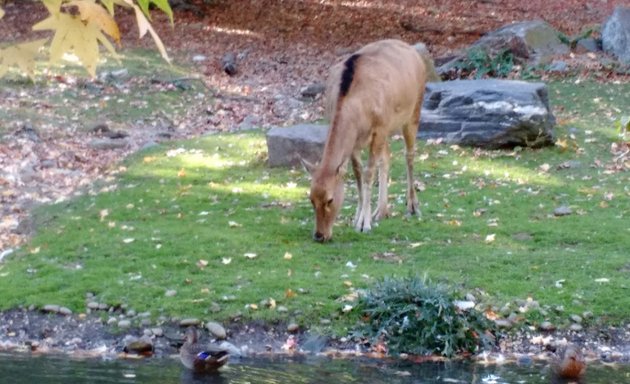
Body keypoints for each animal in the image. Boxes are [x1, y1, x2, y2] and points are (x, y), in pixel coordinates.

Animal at [302, 39, 430, 243]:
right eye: (311, 198)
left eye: (330, 199)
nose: (319, 235)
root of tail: (413, 50)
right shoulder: (357, 140)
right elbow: (358, 173)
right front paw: (358, 218)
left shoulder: (379, 129)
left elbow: (368, 173)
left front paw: (365, 224)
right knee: (387, 156)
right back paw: (381, 211)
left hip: (413, 112)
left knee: (409, 155)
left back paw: (413, 206)